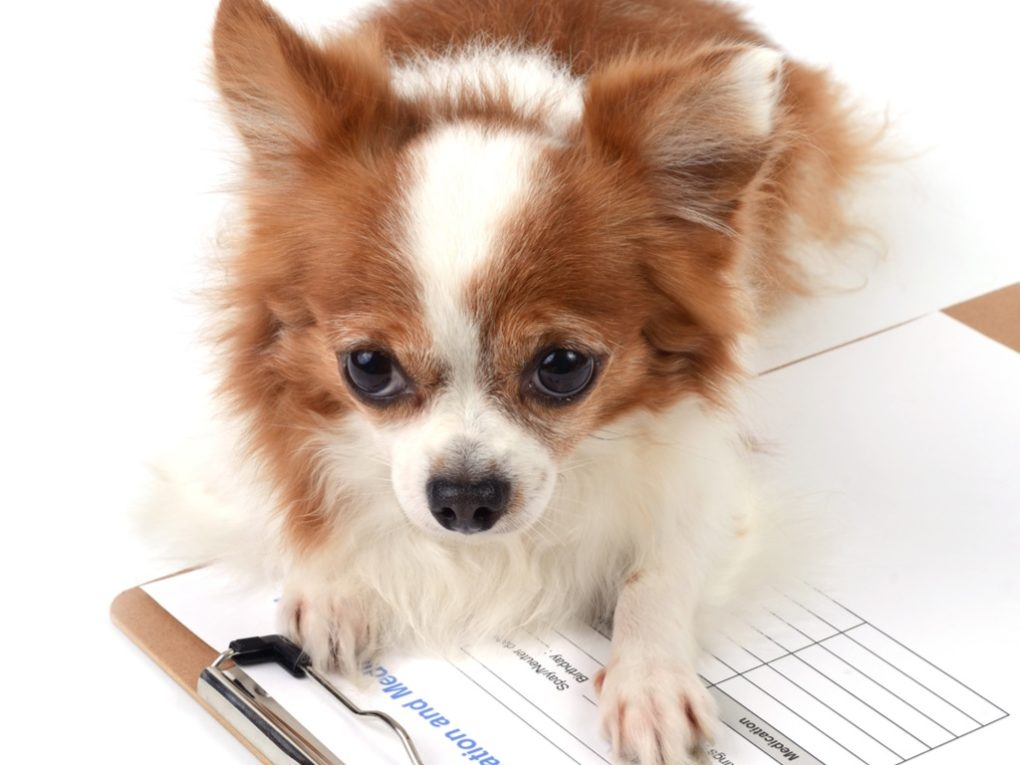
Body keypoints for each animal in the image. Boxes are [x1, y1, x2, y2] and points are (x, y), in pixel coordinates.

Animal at [147, 2, 873, 762]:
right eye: (368, 367)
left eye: (563, 367)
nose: (465, 500)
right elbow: (301, 496)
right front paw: (332, 577)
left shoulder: (709, 476)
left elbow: (660, 565)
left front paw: (648, 680)